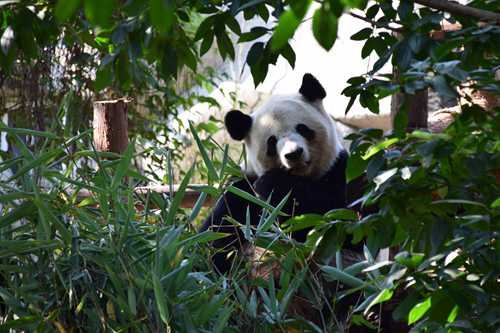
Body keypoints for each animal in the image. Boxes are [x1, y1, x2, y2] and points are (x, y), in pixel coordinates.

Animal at [201, 74, 350, 274]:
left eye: (302, 128)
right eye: (272, 142)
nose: (293, 154)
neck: (299, 177)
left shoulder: (338, 168)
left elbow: (331, 215)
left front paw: (270, 183)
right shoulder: (241, 190)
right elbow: (218, 233)